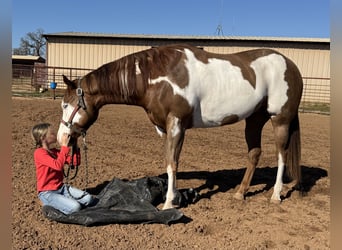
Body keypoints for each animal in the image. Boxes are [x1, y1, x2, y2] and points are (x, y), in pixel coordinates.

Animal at [57, 44, 304, 210]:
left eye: (66, 104)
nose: (62, 138)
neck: (156, 77)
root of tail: (291, 65)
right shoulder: (167, 129)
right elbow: (170, 162)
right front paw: (175, 196)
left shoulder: (176, 125)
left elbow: (172, 163)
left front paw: (168, 203)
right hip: (254, 120)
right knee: (254, 154)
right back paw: (240, 193)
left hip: (280, 120)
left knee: (282, 155)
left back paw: (276, 195)